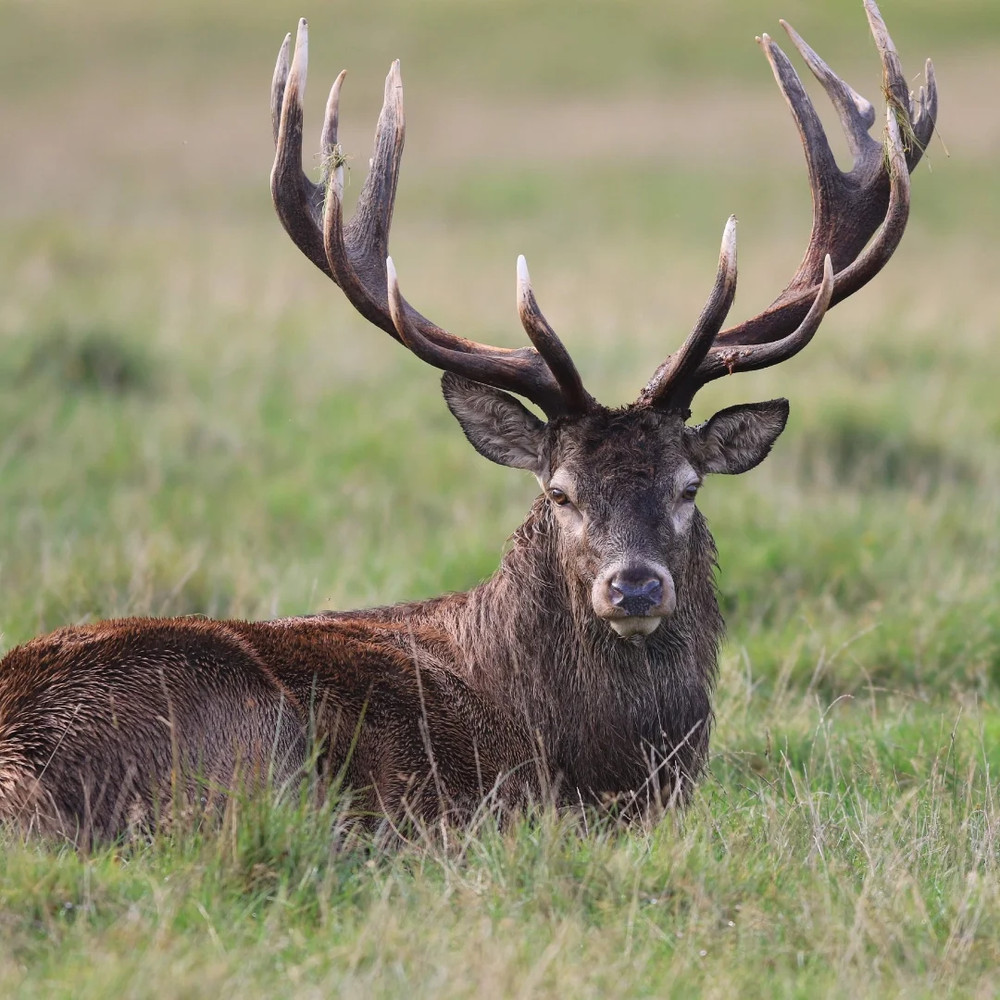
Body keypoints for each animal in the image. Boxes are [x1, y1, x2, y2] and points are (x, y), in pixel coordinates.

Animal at [0, 1, 935, 843]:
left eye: (688, 487)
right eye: (558, 492)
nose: (634, 586)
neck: (592, 763)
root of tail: (20, 774)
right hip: (244, 739)